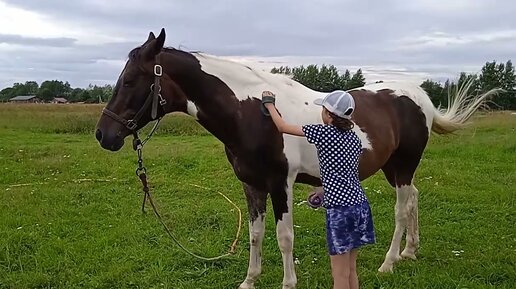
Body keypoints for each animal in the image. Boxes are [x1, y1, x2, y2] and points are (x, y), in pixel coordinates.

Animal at [94, 27, 498, 288]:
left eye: (130, 80)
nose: (103, 135)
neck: (250, 113)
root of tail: (419, 96)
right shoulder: (251, 186)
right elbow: (255, 235)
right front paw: (249, 280)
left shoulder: (281, 185)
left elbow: (284, 236)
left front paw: (288, 283)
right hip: (395, 169)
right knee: (414, 198)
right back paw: (410, 252)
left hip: (403, 165)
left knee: (401, 209)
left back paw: (389, 263)